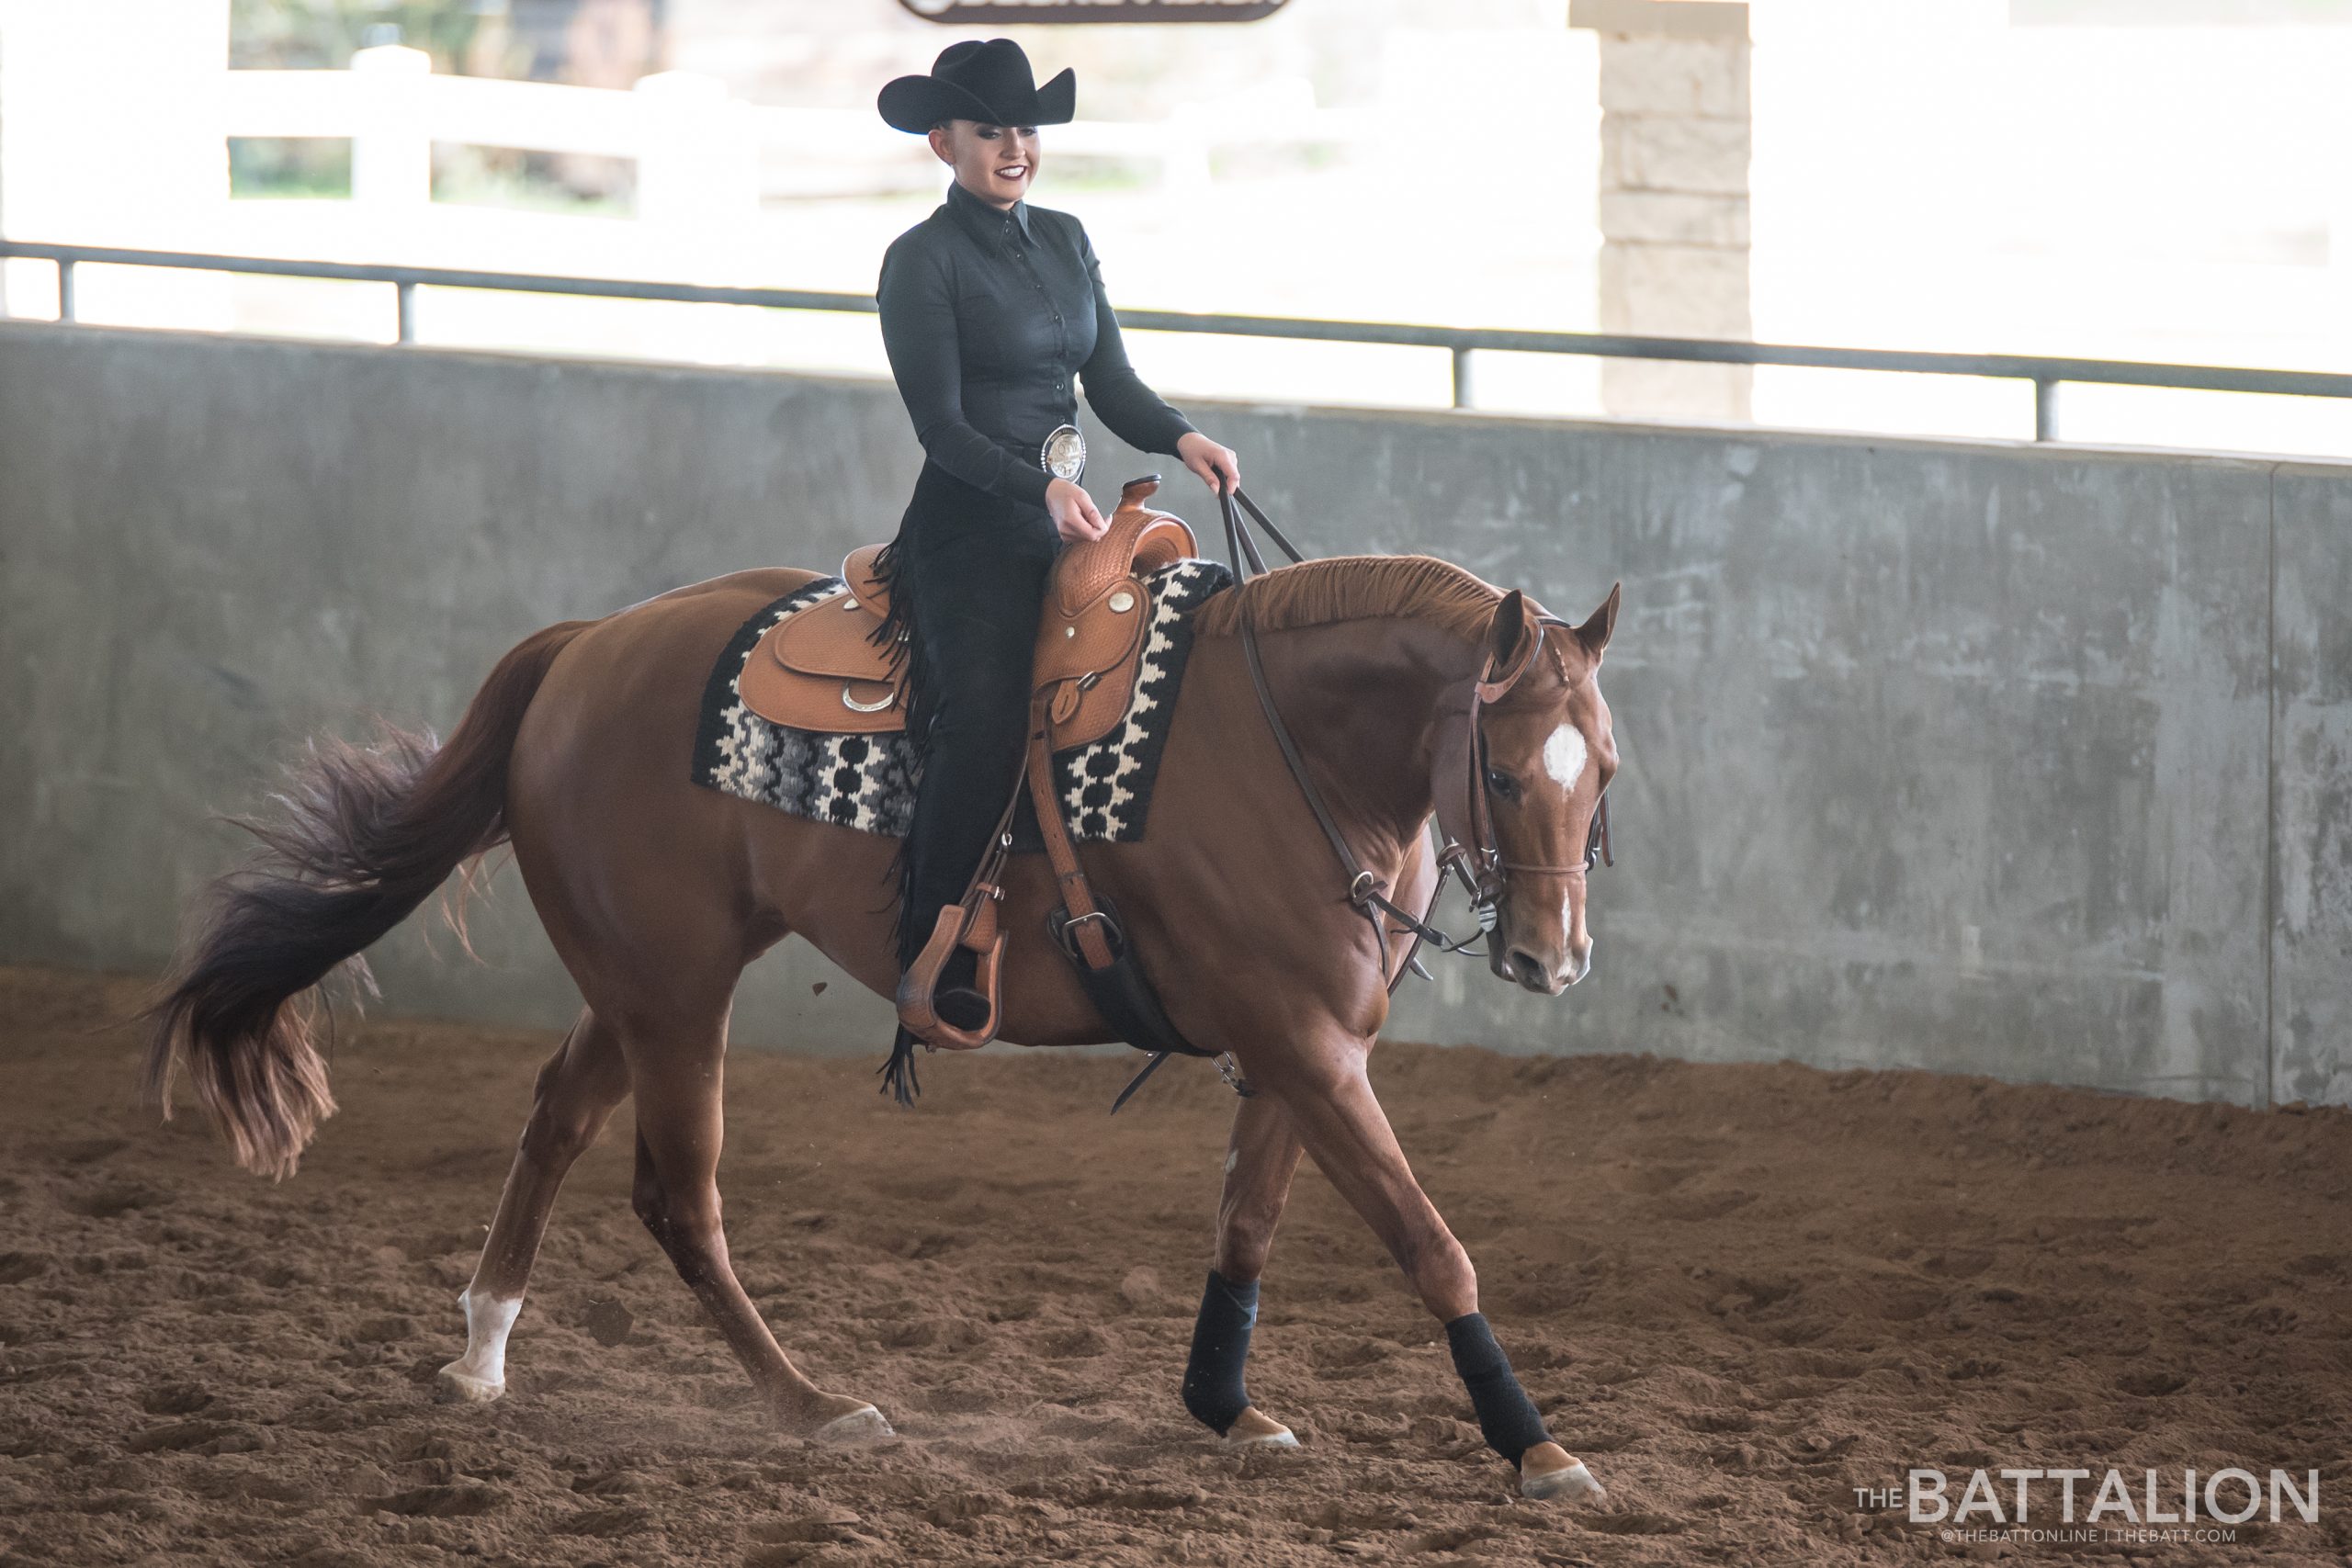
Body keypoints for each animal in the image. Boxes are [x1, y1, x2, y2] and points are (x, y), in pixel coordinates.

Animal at [141, 549, 1618, 1495]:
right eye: (1498, 769)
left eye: (1599, 767)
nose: (1552, 959)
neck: (1284, 751)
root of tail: (585, 647)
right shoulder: (1305, 1049)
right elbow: (1433, 1246)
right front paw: (1538, 1448)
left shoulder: (1300, 1052)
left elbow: (1245, 1227)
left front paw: (1227, 1408)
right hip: (675, 992)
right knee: (679, 1198)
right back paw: (812, 1407)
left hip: (640, 983)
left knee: (556, 1117)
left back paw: (482, 1353)